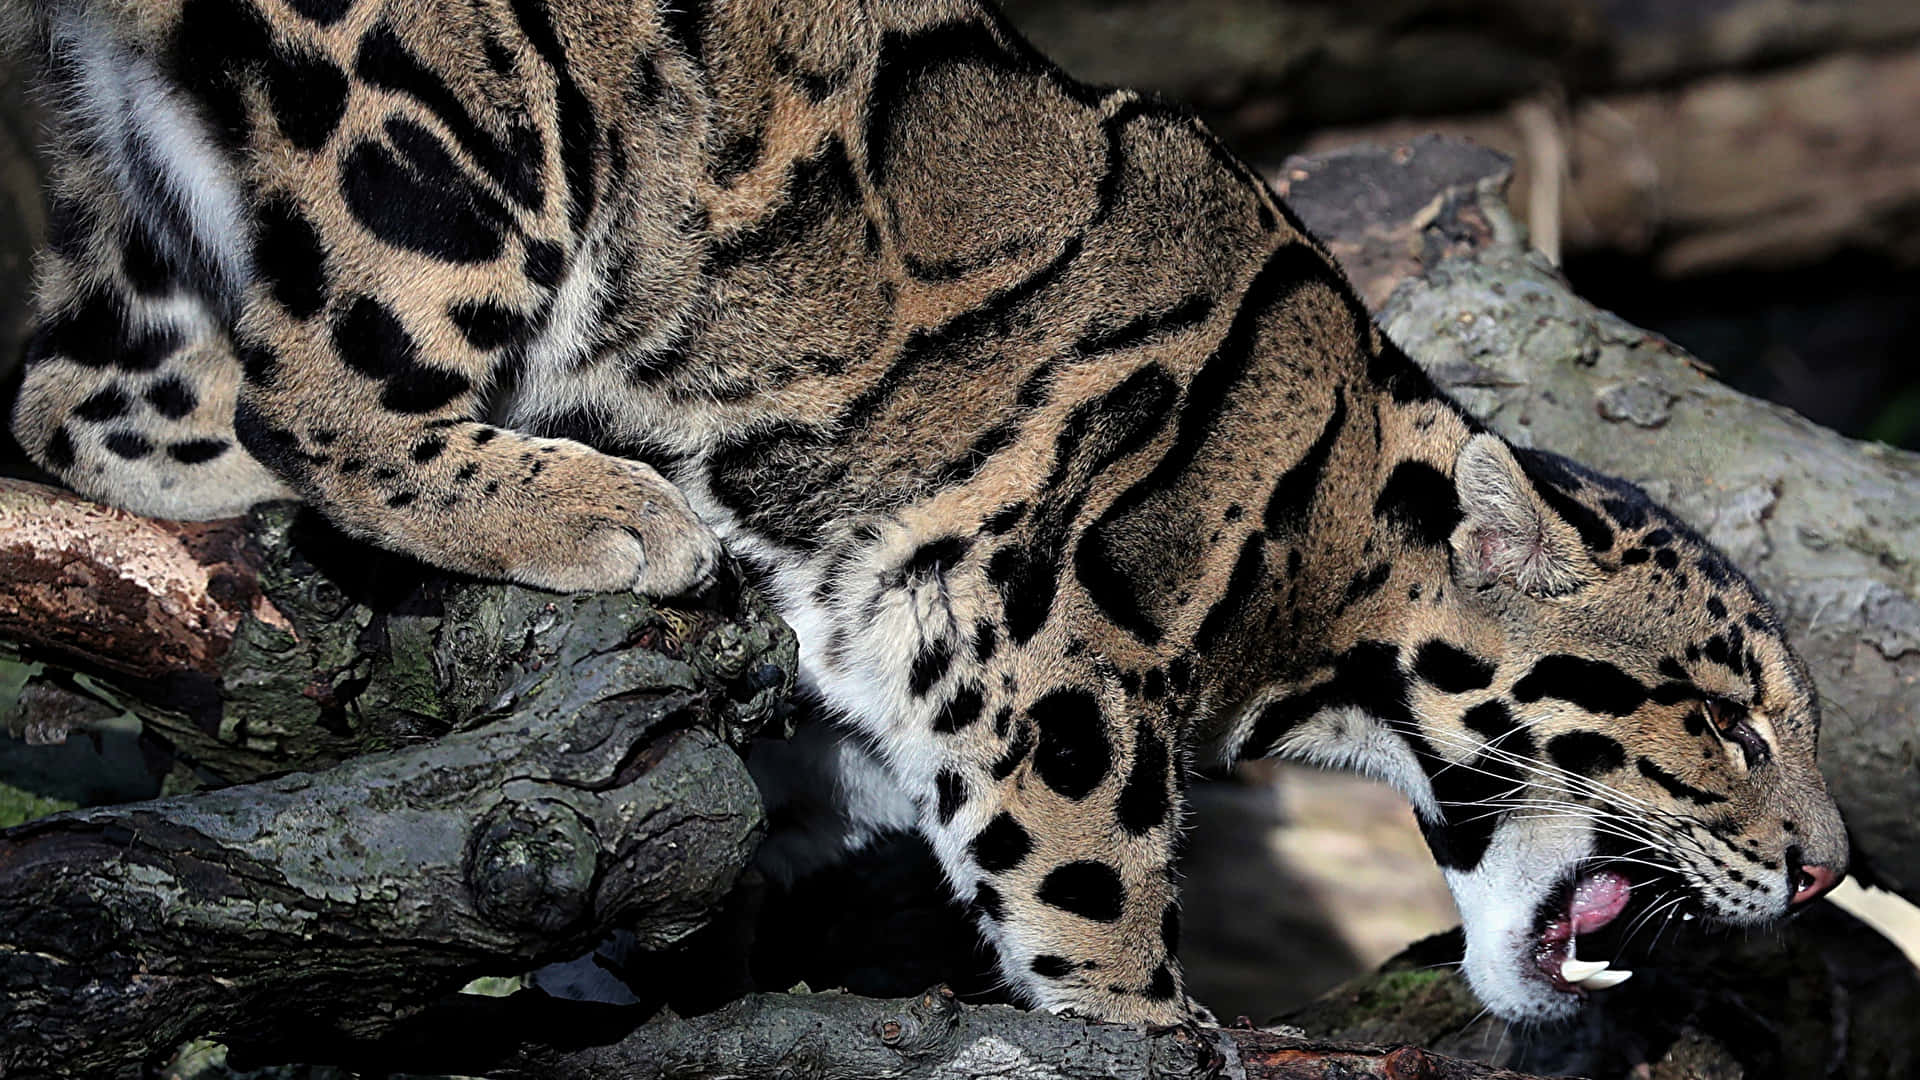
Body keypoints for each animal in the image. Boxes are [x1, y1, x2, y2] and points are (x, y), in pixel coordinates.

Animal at [4, 0, 1849, 1026]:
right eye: (1735, 726)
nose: (1834, 870)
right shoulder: (1056, 653)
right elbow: (1096, 894)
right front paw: (1154, 1035)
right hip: (446, 134)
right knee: (310, 389)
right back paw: (596, 505)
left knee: (68, 398)